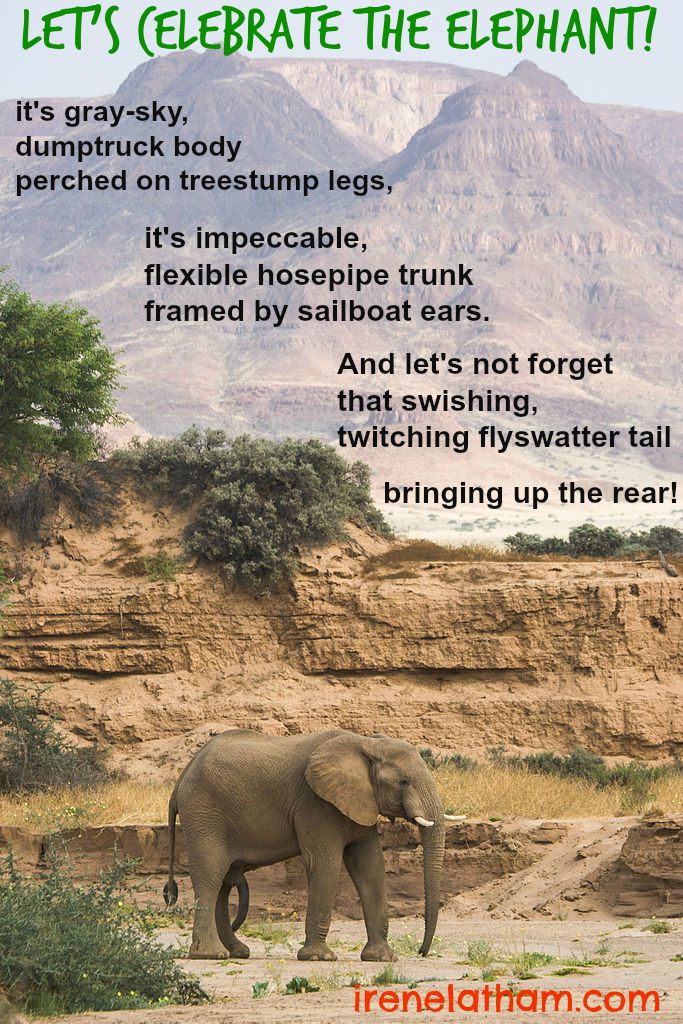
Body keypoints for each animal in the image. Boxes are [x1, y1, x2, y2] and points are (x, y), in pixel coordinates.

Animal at [164, 728, 460, 961]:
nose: (421, 951)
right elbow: (326, 863)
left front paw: (382, 958)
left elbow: (370, 866)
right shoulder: (316, 804)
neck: (366, 743)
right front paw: (319, 957)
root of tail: (181, 779)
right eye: (403, 782)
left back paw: (238, 952)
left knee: (224, 884)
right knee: (211, 876)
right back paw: (211, 955)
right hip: (203, 813)